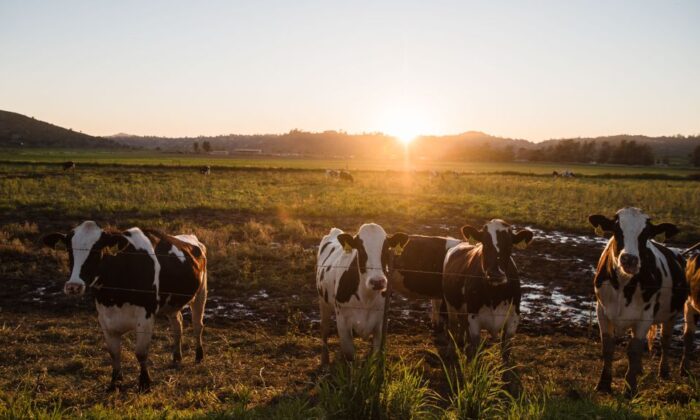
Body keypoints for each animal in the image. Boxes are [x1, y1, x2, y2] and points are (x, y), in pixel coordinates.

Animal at [42, 221, 208, 388]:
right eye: (69, 250)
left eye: (97, 250)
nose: (73, 286)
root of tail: (191, 238)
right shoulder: (105, 318)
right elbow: (114, 352)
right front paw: (115, 382)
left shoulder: (145, 316)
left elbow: (141, 353)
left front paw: (144, 383)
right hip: (172, 304)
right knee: (177, 324)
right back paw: (176, 357)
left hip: (201, 293)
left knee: (197, 325)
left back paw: (199, 356)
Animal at [318, 223, 410, 364]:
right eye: (360, 250)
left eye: (386, 249)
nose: (377, 281)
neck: (366, 299)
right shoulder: (343, 321)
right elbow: (349, 354)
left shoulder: (380, 322)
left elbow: (376, 353)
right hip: (324, 302)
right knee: (325, 328)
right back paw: (325, 359)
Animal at [440, 221, 532, 386]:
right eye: (484, 242)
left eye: (509, 244)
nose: (496, 273)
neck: (494, 294)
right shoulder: (474, 317)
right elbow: (476, 344)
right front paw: (475, 373)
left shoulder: (514, 318)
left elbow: (506, 349)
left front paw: (506, 377)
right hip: (450, 304)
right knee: (453, 326)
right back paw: (452, 350)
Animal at [588, 208, 688, 398]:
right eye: (616, 230)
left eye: (646, 234)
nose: (629, 259)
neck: (623, 285)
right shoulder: (602, 311)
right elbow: (608, 347)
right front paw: (604, 384)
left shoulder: (645, 316)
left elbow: (633, 350)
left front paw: (630, 388)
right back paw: (640, 370)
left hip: (671, 315)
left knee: (665, 341)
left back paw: (663, 371)